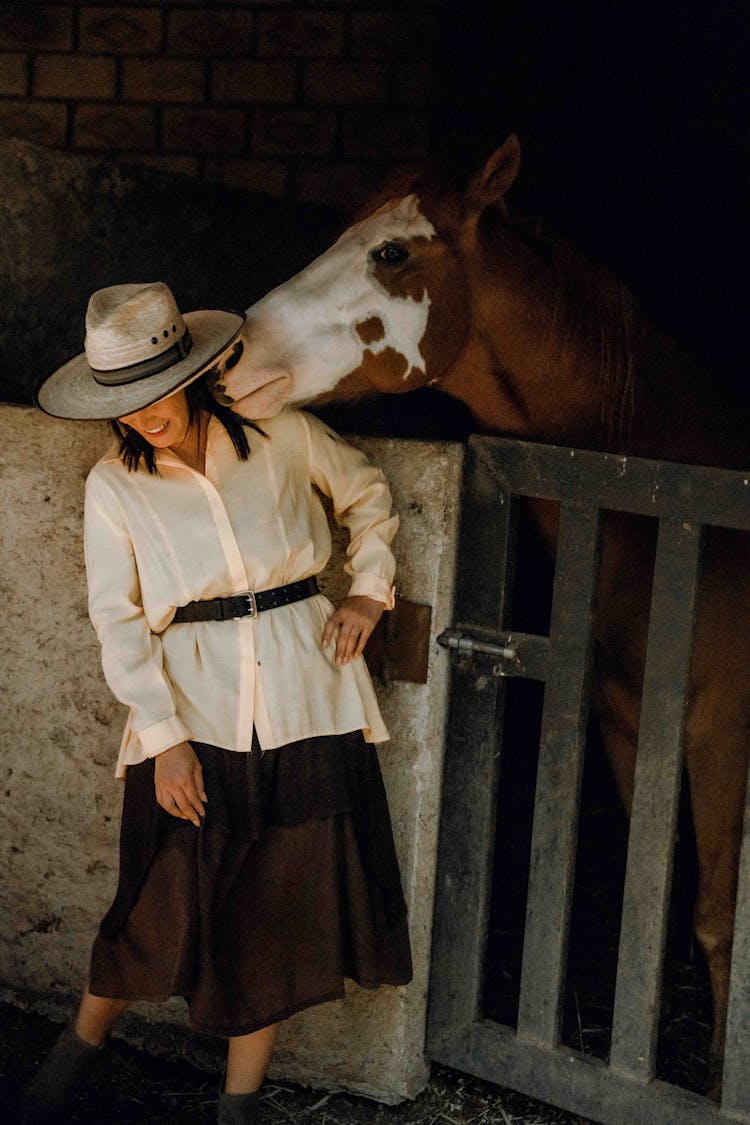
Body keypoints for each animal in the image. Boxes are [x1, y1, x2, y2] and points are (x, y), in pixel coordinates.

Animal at [213, 133, 750, 1080]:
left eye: (392, 252)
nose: (236, 358)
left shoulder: (722, 725)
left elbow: (716, 915)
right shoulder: (625, 717)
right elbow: (646, 899)